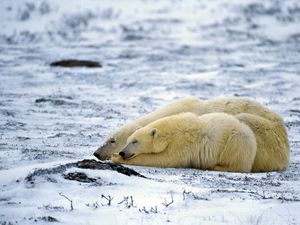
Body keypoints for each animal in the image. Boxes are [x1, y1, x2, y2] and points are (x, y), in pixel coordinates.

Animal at [112, 112, 288, 172]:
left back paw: (213, 166)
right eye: (127, 140)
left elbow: (165, 159)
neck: (170, 132)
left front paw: (116, 158)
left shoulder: (182, 143)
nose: (122, 152)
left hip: (237, 140)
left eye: (134, 141)